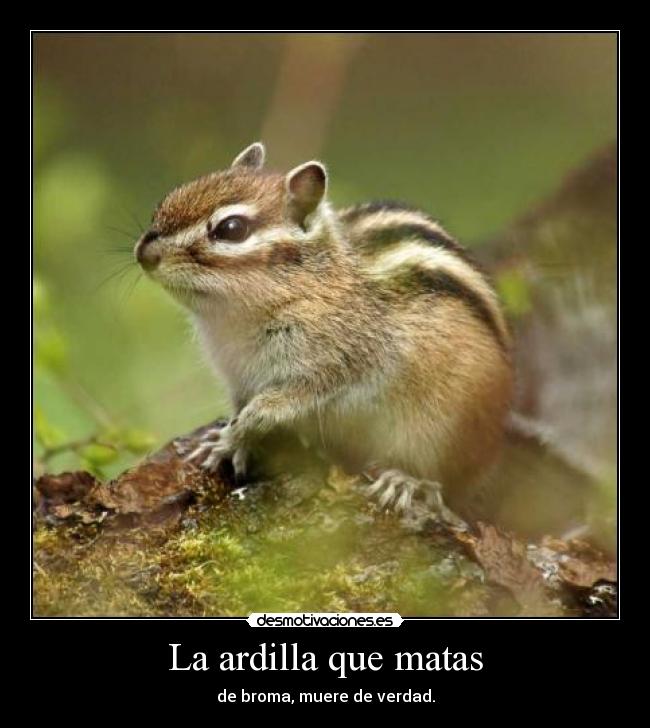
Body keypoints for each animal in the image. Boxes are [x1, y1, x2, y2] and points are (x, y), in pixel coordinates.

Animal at [134, 142, 514, 526]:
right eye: (167, 199)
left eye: (231, 228)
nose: (144, 254)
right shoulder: (238, 376)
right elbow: (243, 406)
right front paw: (227, 440)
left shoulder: (335, 361)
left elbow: (273, 406)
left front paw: (232, 436)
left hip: (442, 428)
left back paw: (404, 480)